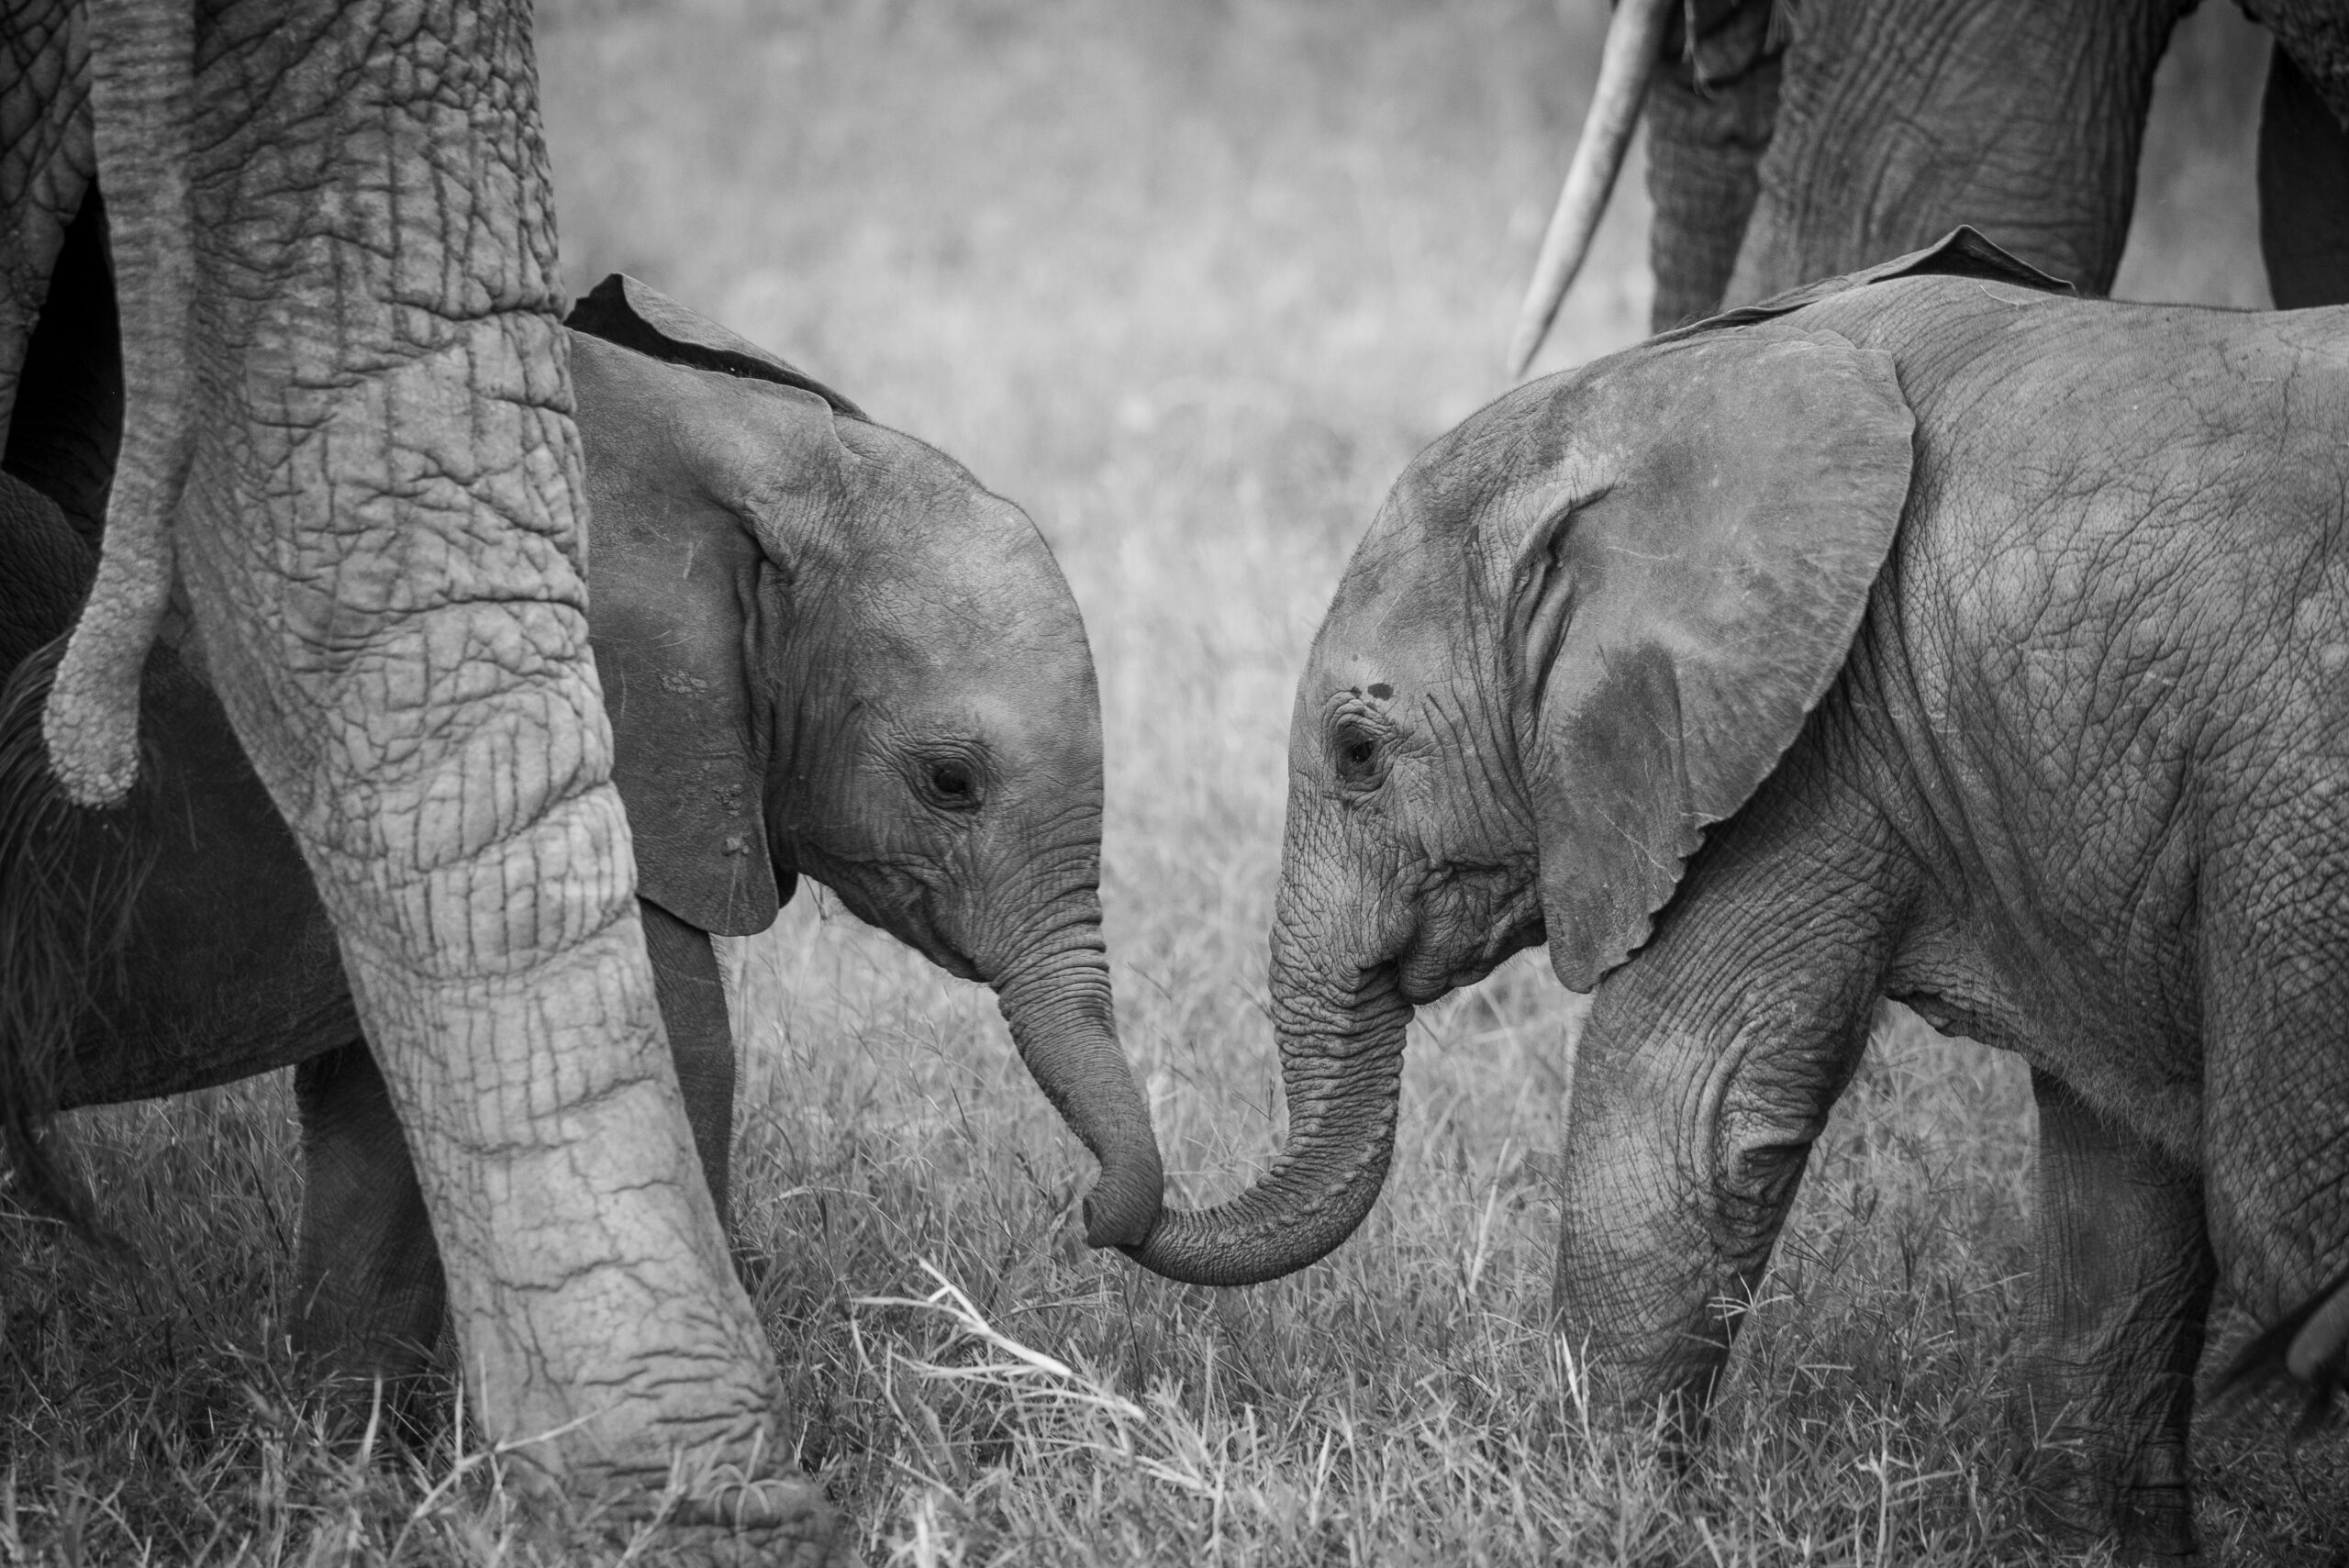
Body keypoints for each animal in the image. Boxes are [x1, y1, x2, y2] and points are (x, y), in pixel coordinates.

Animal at [1, 272, 1160, 1536]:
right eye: (951, 781)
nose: (1088, 1212)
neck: (748, 446)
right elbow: (677, 1057)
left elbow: (376, 1116)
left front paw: (344, 1483)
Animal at [1124, 229, 2349, 1562]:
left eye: (1357, 751)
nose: (1096, 1203)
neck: (1660, 393)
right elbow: (2120, 1200)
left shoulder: (1809, 741)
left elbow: (1683, 1112)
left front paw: (1598, 1520)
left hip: (2298, 803)